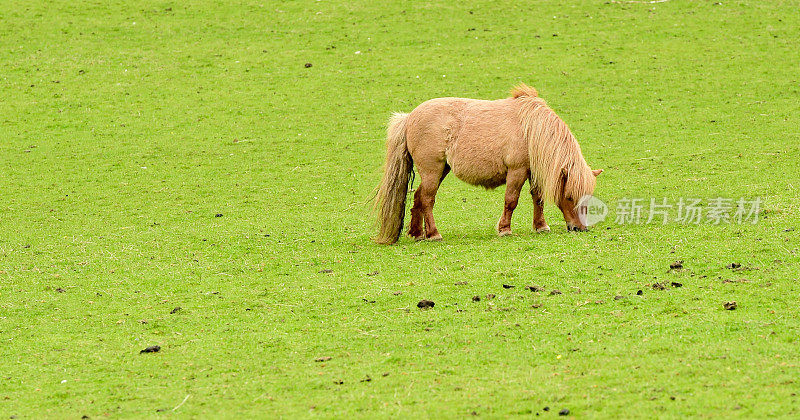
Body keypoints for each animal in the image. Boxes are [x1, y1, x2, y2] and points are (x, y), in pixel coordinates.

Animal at [374, 84, 600, 244]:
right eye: (569, 196)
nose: (580, 228)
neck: (530, 128)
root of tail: (409, 118)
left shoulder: (532, 172)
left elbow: (538, 199)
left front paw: (541, 226)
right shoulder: (517, 171)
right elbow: (511, 200)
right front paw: (505, 229)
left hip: (440, 170)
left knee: (418, 198)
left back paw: (417, 233)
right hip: (432, 170)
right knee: (427, 199)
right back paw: (433, 234)